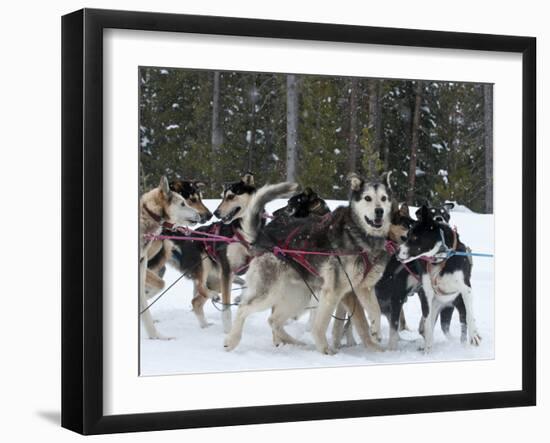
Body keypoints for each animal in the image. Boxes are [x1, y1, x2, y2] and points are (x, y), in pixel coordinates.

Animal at [396, 206, 484, 354]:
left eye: (414, 237)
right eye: (407, 236)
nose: (396, 252)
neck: (441, 259)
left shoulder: (466, 289)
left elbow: (470, 315)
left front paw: (474, 335)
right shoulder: (427, 294)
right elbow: (427, 324)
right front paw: (427, 349)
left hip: (458, 304)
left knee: (462, 323)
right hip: (435, 306)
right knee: (429, 324)